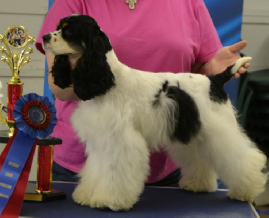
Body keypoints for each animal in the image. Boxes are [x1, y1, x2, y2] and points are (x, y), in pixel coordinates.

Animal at [42, 14, 266, 211]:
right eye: (58, 26)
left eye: (68, 30)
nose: (44, 37)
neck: (108, 81)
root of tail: (215, 80)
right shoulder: (101, 140)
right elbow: (97, 169)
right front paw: (87, 195)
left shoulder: (121, 141)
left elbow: (114, 172)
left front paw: (108, 200)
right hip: (195, 132)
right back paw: (198, 184)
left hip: (220, 129)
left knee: (243, 157)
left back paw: (247, 189)